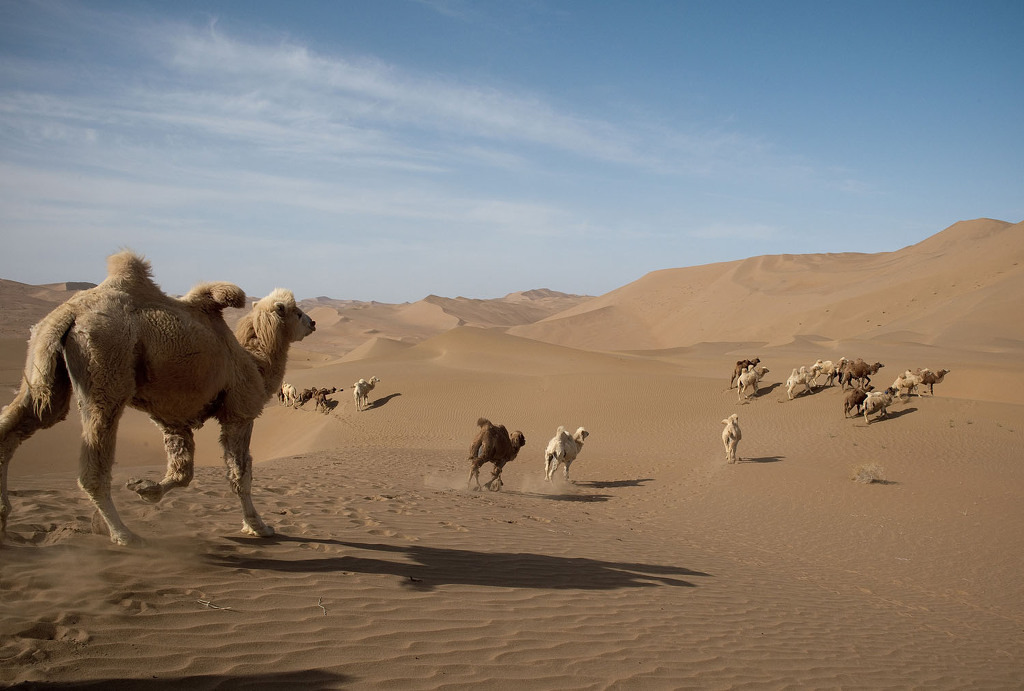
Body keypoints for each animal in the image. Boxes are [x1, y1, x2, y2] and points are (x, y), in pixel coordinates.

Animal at [0, 249, 315, 544]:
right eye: (297, 312)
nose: (313, 323)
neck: (255, 363)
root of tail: (68, 314)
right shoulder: (239, 413)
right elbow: (240, 474)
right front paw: (258, 526)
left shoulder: (173, 419)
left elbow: (182, 472)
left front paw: (143, 488)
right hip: (106, 372)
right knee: (94, 463)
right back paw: (123, 534)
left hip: (45, 371)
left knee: (18, 425)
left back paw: (4, 519)